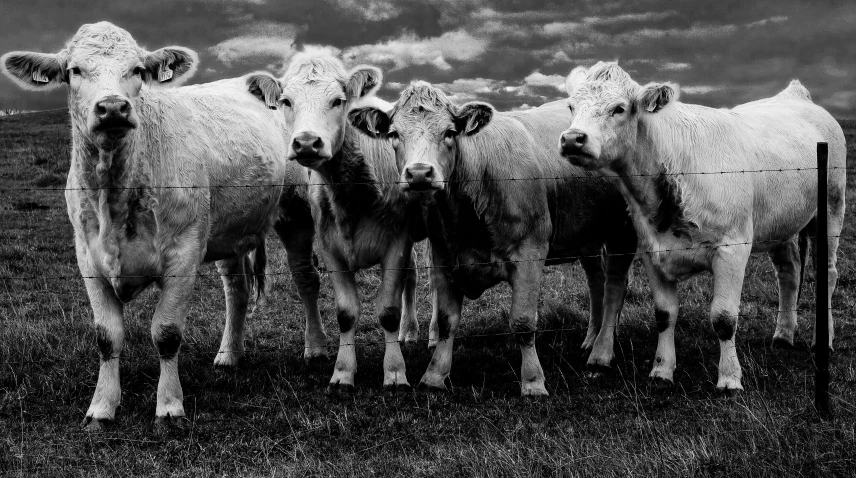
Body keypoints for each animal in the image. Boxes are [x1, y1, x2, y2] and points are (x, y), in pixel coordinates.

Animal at [1, 20, 322, 428]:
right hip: (227, 229)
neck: (115, 195)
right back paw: (229, 354)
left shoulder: (184, 252)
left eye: (137, 70)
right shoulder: (87, 257)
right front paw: (102, 406)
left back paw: (316, 348)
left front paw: (169, 405)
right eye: (74, 70)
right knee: (237, 291)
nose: (113, 107)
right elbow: (107, 336)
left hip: (297, 210)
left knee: (305, 279)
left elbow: (166, 333)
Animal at [244, 52, 424, 392]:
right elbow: (346, 313)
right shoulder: (330, 247)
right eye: (286, 101)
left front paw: (395, 372)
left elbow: (388, 310)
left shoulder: (397, 240)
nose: (306, 143)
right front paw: (342, 372)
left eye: (338, 101)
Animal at [348, 82, 636, 396]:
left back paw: (602, 352)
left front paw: (533, 381)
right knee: (597, 282)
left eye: (450, 132)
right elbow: (447, 321)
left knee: (615, 288)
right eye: (394, 134)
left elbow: (523, 322)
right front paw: (435, 375)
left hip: (624, 231)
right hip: (587, 234)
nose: (420, 173)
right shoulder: (445, 255)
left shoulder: (530, 252)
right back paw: (591, 339)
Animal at [560, 61, 844, 390]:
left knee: (827, 273)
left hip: (832, 208)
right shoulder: (651, 252)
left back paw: (823, 340)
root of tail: (795, 95)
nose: (572, 139)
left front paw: (730, 378)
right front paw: (662, 370)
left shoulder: (732, 249)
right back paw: (784, 334)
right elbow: (664, 315)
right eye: (571, 106)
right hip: (780, 221)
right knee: (789, 270)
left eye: (619, 108)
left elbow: (724, 318)